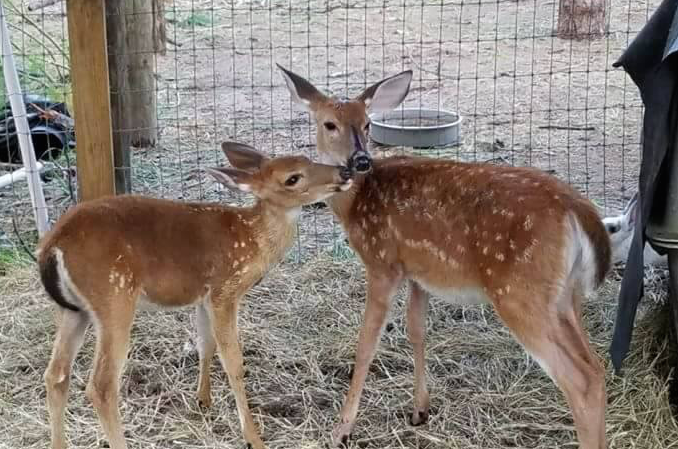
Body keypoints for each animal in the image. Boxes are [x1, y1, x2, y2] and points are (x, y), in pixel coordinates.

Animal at [38, 141, 353, 449]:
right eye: (293, 178)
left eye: (307, 158)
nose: (345, 171)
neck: (253, 240)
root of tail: (52, 246)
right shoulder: (225, 289)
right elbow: (233, 361)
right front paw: (253, 438)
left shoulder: (204, 296)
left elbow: (205, 345)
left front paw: (203, 401)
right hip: (113, 297)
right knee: (101, 385)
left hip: (74, 309)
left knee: (55, 375)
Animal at [277, 64, 612, 449]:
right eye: (330, 124)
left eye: (367, 123)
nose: (360, 160)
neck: (355, 202)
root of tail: (576, 207)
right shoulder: (419, 272)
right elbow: (417, 330)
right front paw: (419, 410)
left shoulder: (382, 262)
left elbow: (365, 345)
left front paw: (342, 428)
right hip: (565, 296)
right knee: (597, 367)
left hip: (521, 291)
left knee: (580, 379)